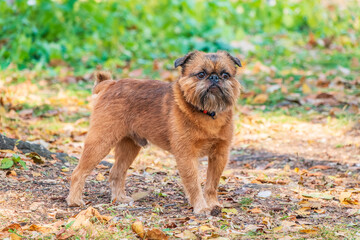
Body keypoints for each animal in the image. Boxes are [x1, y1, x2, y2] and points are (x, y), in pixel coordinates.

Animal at [67, 50, 242, 214]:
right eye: (201, 74)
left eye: (225, 75)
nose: (214, 78)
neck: (207, 113)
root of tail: (110, 83)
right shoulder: (187, 156)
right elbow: (193, 183)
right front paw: (201, 207)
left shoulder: (219, 155)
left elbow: (212, 183)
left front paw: (212, 204)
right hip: (100, 141)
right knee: (78, 172)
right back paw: (74, 200)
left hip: (129, 147)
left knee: (116, 172)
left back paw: (119, 198)